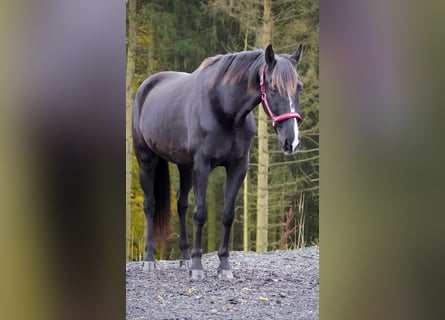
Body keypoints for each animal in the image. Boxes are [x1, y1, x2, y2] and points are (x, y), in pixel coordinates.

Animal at [134, 43, 304, 278]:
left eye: (299, 88)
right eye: (273, 88)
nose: (292, 142)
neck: (223, 109)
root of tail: (146, 87)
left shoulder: (237, 167)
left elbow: (227, 214)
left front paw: (223, 266)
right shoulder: (202, 166)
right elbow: (200, 213)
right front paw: (197, 266)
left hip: (185, 167)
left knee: (182, 205)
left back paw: (184, 258)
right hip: (146, 159)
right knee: (151, 205)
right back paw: (150, 259)